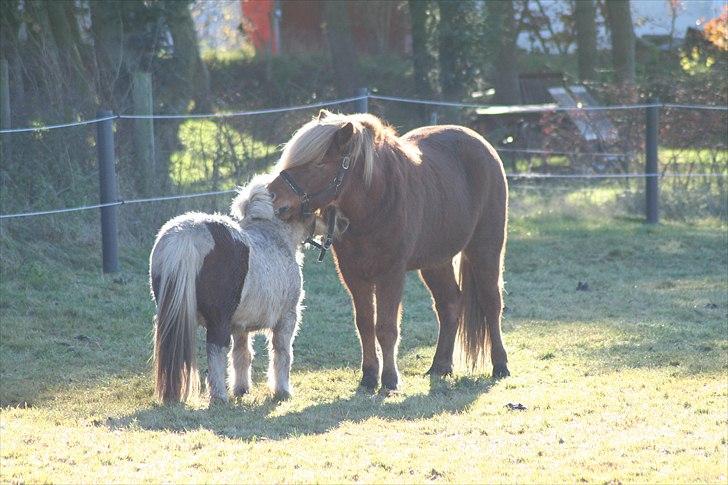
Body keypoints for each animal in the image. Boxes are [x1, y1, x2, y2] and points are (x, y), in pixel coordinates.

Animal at [148, 180, 310, 402]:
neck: (275, 237)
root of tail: (185, 236)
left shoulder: (240, 325)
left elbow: (241, 354)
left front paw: (241, 389)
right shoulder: (287, 317)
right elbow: (281, 353)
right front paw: (282, 391)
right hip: (218, 320)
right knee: (215, 348)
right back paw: (219, 397)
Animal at [268, 109, 512, 390]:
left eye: (319, 164)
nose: (272, 195)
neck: (375, 203)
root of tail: (484, 146)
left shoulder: (391, 274)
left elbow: (386, 328)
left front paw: (390, 380)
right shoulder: (354, 275)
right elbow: (365, 325)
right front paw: (369, 376)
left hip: (485, 248)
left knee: (491, 302)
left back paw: (500, 365)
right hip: (435, 262)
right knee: (449, 303)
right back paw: (440, 366)